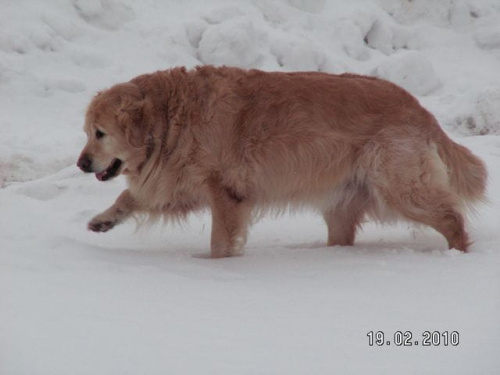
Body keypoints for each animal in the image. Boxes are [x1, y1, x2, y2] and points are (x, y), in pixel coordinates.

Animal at [76, 66, 486, 258]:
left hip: (399, 187)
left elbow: (220, 242)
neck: (170, 118)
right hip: (342, 204)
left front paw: (216, 266)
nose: (81, 164)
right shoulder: (178, 184)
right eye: (88, 132)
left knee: (451, 217)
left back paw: (458, 255)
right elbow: (131, 197)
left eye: (99, 133)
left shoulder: (225, 193)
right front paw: (103, 219)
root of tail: (419, 108)